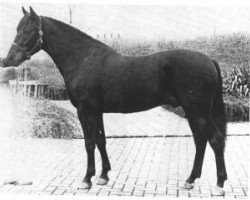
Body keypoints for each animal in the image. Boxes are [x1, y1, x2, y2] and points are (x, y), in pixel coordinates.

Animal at [1, 6, 228, 195]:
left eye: (28, 30)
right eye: (18, 28)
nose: (8, 59)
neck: (83, 58)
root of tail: (209, 59)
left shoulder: (85, 111)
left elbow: (89, 142)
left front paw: (86, 179)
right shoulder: (97, 111)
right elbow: (101, 140)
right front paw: (103, 176)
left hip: (198, 112)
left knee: (216, 140)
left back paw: (219, 185)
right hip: (192, 112)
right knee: (200, 141)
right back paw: (190, 180)